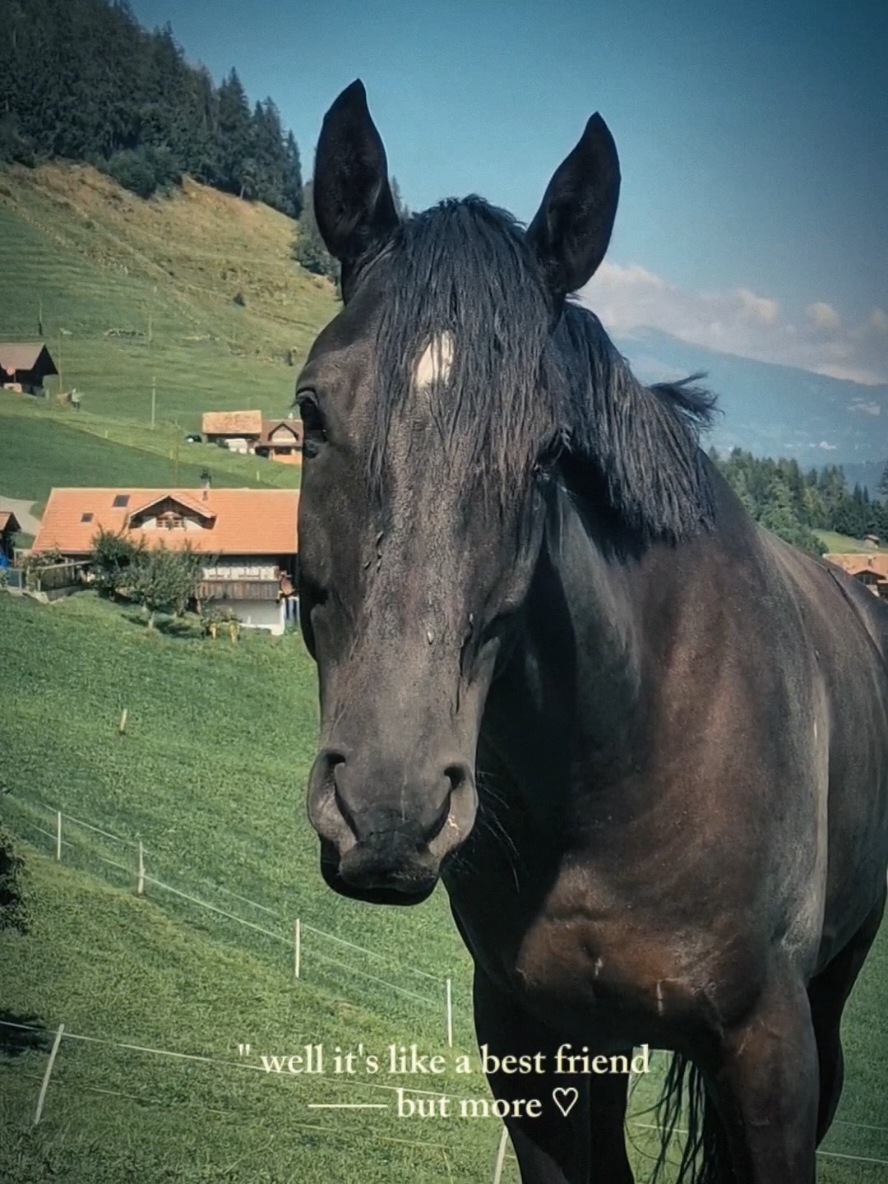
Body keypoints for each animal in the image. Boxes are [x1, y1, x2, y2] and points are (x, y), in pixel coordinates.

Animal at [296, 78, 888, 1179]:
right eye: (311, 412)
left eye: (547, 451)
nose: (389, 809)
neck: (627, 752)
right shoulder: (535, 1037)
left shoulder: (770, 1045)